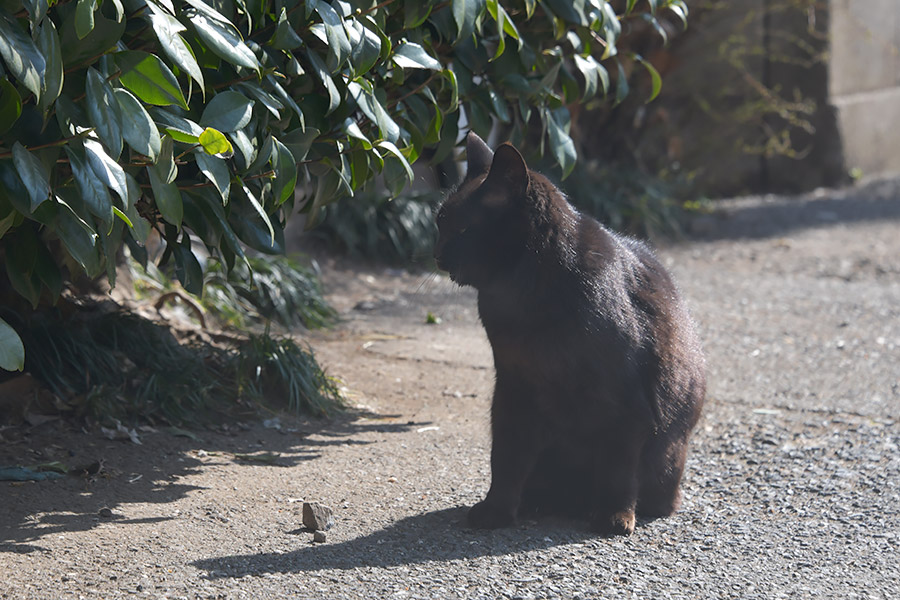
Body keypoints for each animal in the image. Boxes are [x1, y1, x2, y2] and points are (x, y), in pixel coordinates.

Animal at [432, 134, 708, 536]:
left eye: (463, 228)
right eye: (440, 221)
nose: (436, 254)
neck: (524, 296)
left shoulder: (626, 402)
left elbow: (618, 466)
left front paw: (614, 515)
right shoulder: (513, 389)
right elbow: (506, 458)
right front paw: (496, 511)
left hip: (665, 456)